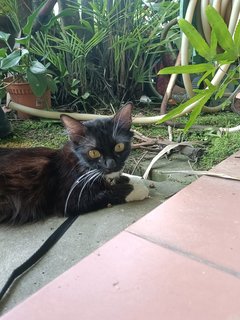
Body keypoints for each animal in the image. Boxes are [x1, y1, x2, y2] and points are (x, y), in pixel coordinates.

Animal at [0, 104, 148, 224]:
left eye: (119, 146)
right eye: (93, 153)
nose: (111, 164)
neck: (80, 163)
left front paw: (133, 179)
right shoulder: (67, 200)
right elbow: (106, 194)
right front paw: (136, 189)